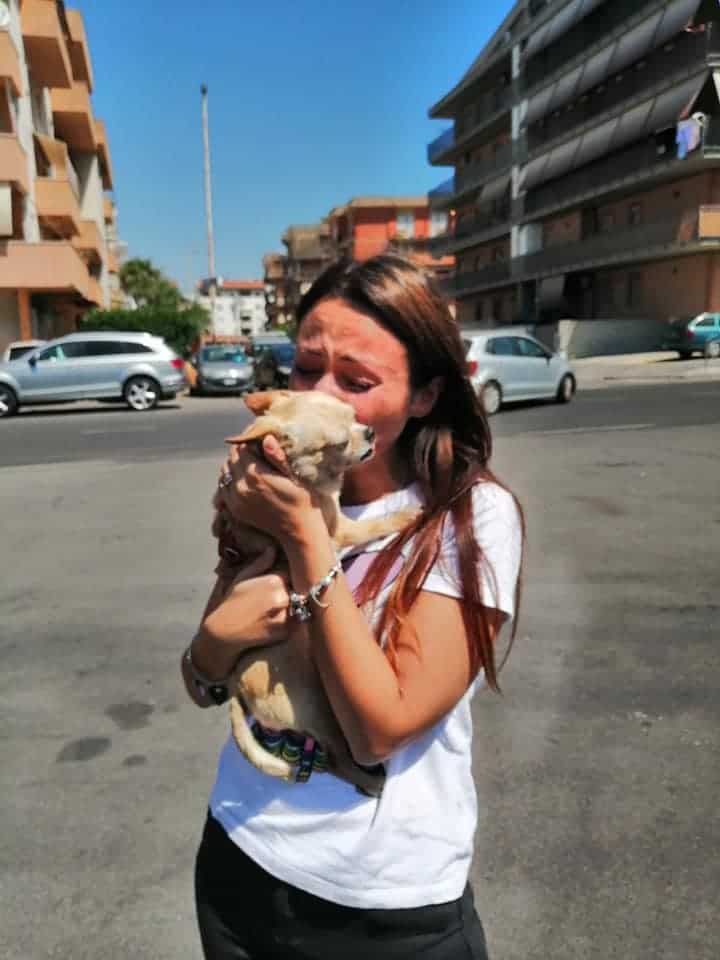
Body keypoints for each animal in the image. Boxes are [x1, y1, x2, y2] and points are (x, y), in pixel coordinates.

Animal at [214, 390, 416, 796]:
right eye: (338, 444)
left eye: (355, 414)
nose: (370, 432)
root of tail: (234, 686)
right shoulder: (337, 530)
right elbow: (373, 524)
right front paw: (405, 516)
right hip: (321, 706)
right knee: (337, 757)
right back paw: (369, 780)